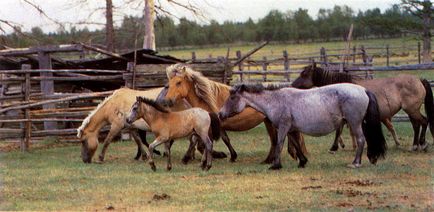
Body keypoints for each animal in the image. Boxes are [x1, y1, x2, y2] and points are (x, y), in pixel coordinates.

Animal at [164, 64, 308, 164]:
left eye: (178, 82)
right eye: (169, 83)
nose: (168, 100)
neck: (207, 100)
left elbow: (196, 140)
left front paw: (187, 158)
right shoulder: (218, 125)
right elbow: (224, 139)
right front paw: (232, 156)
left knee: (278, 139)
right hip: (269, 122)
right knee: (277, 139)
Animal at [220, 83, 386, 170]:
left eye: (232, 97)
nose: (220, 114)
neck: (276, 100)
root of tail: (363, 90)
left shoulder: (283, 127)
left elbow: (279, 144)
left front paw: (275, 165)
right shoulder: (291, 129)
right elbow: (295, 145)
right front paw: (302, 161)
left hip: (354, 123)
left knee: (361, 140)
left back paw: (355, 163)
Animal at [292, 63, 434, 152]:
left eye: (304, 74)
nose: (293, 85)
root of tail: (419, 80)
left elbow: (339, 130)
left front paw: (335, 147)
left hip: (412, 110)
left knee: (424, 122)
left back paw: (422, 144)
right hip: (411, 111)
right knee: (416, 125)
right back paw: (415, 146)